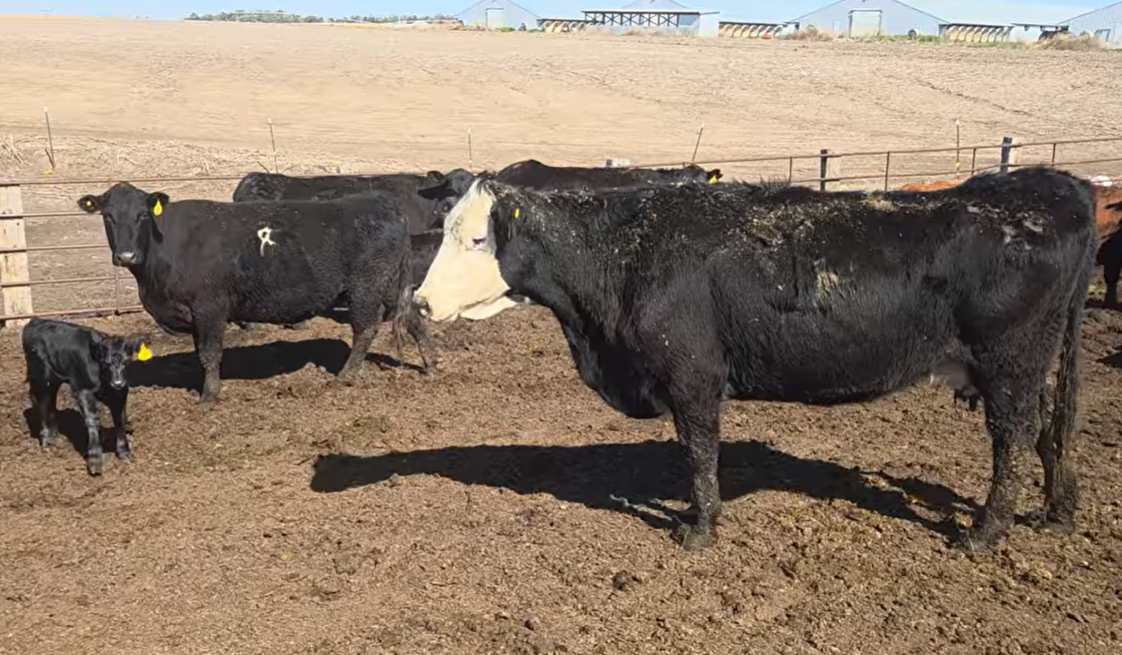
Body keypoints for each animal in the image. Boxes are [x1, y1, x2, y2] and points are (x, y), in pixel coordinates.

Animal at [22, 317, 149, 475]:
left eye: (127, 361)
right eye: (105, 363)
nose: (117, 382)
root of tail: (36, 320)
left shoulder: (120, 392)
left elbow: (120, 420)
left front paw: (124, 452)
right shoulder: (83, 391)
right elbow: (92, 421)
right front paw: (95, 461)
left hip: (54, 378)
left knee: (50, 398)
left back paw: (53, 431)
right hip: (41, 377)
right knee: (40, 399)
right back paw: (46, 439)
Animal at [77, 182, 436, 404]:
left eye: (142, 215)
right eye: (108, 216)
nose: (126, 256)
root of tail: (382, 202)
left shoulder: (210, 308)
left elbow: (210, 354)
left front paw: (210, 395)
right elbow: (199, 353)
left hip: (365, 288)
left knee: (365, 330)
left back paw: (344, 377)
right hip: (390, 286)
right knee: (412, 317)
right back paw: (433, 362)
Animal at [413, 166, 1097, 554]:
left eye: (478, 238)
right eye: (443, 229)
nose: (419, 302)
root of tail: (1051, 187)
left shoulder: (692, 376)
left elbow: (699, 453)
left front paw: (700, 528)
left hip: (1008, 363)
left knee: (1013, 440)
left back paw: (984, 533)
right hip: (1030, 367)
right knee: (1047, 433)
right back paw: (1056, 512)